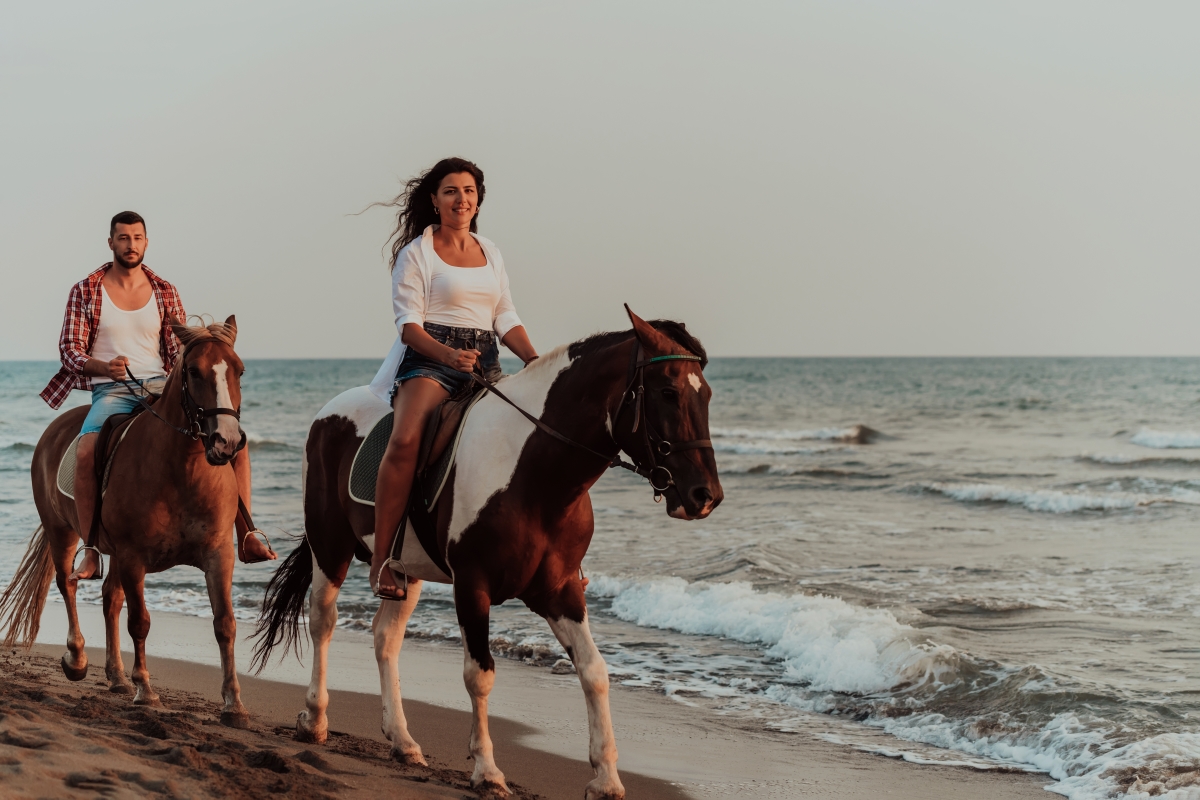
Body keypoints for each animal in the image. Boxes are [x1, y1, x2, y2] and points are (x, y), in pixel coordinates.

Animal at [0, 316, 253, 724]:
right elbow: (140, 621)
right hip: (62, 533)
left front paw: (234, 704)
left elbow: (225, 623)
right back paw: (78, 659)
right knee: (68, 585)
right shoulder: (135, 557)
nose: (226, 442)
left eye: (239, 370)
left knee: (109, 599)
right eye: (194, 371)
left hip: (113, 552)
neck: (181, 471)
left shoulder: (218, 554)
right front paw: (145, 690)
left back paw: (117, 676)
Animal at [253, 304, 720, 796]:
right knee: (323, 621)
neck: (533, 475)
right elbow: (480, 675)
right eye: (668, 392)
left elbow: (594, 671)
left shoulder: (559, 590)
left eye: (706, 395)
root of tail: (330, 412)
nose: (705, 495)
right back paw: (314, 719)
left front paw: (606, 777)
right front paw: (488, 770)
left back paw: (403, 741)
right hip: (330, 547)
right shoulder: (472, 586)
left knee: (385, 638)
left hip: (405, 571)